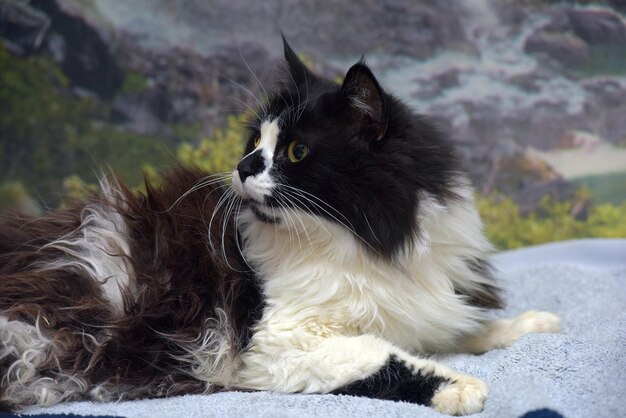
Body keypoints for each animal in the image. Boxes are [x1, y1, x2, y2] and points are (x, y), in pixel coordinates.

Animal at [0, 38, 556, 414]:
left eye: (297, 151)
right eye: (254, 142)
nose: (244, 166)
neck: (363, 244)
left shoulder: (428, 304)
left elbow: (473, 327)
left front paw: (536, 324)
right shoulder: (278, 341)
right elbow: (385, 357)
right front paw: (461, 388)